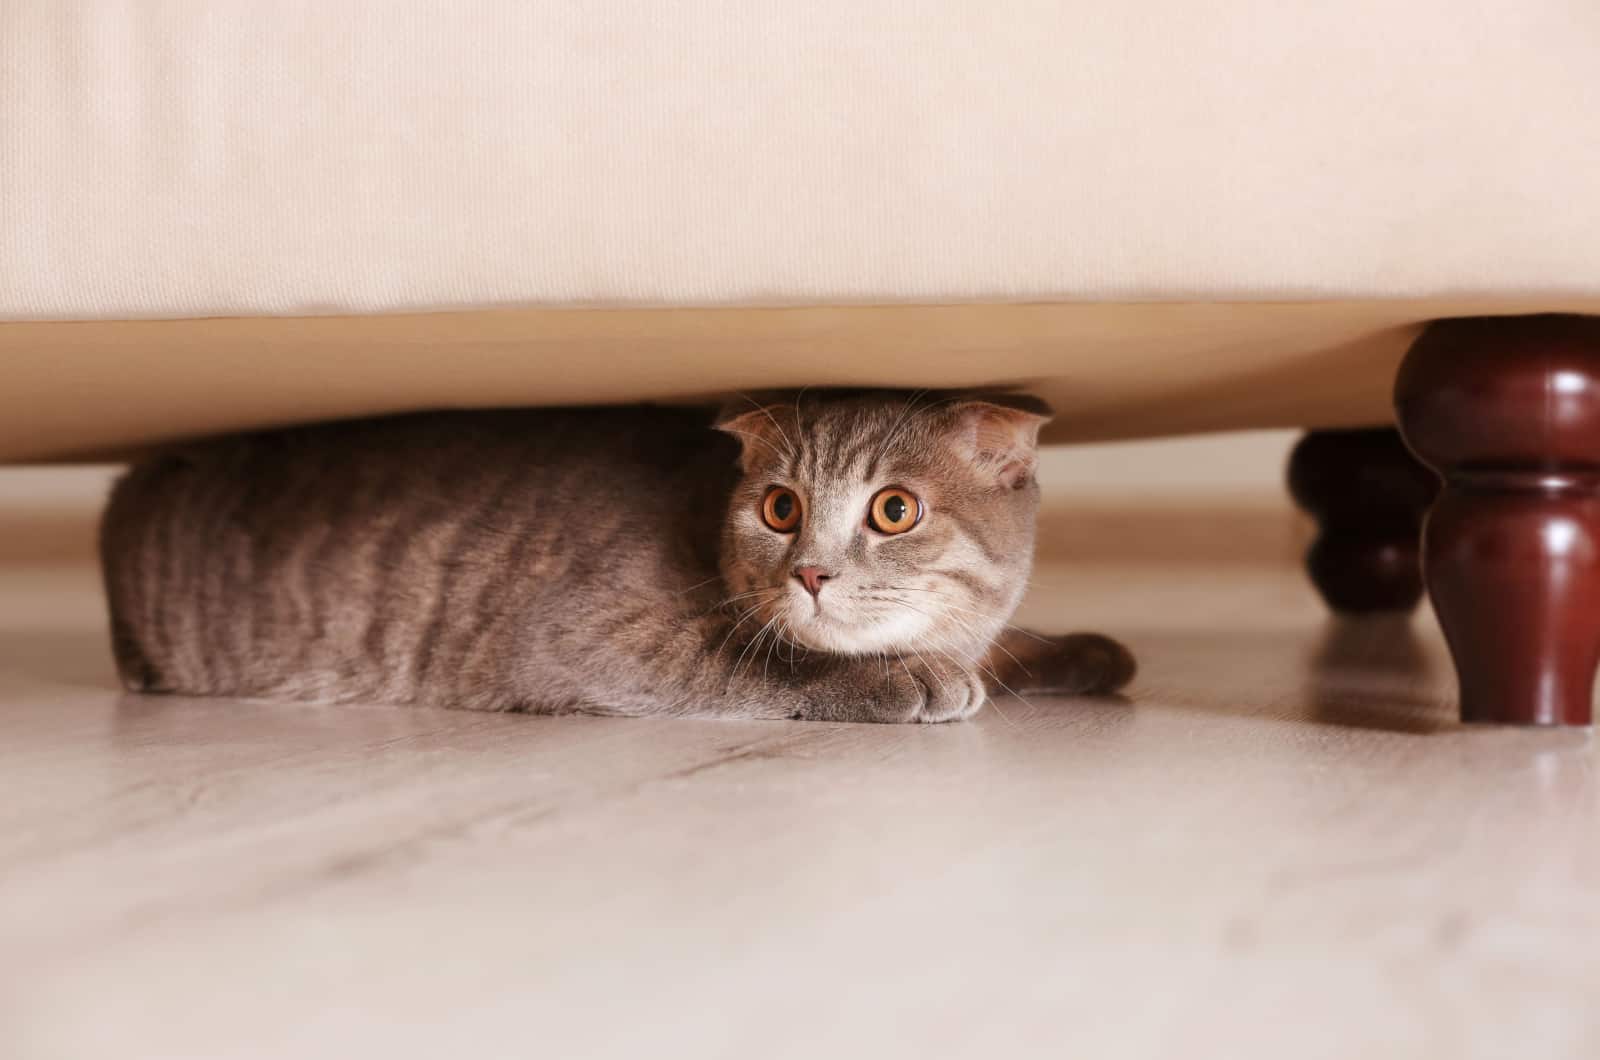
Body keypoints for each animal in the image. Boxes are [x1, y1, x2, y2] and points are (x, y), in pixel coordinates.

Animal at [96, 393, 1139, 726]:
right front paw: (906, 677)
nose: (809, 572)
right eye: (780, 508)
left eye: (895, 509)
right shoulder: (589, 639)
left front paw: (1075, 650)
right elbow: (762, 663)